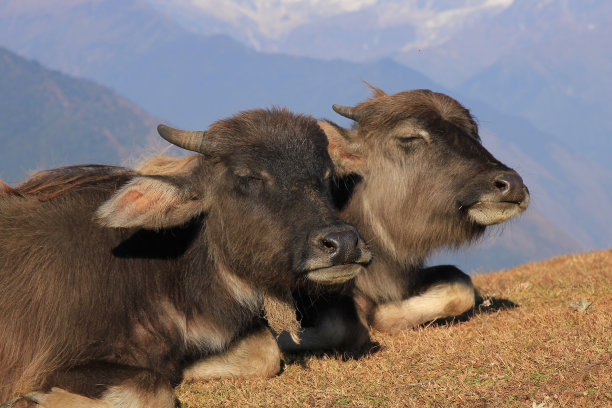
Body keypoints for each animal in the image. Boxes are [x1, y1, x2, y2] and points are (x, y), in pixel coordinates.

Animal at [0, 107, 370, 406]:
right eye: (248, 176)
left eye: (326, 177)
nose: (343, 243)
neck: (160, 272)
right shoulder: (50, 363)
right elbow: (152, 389)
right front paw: (33, 400)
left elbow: (266, 352)